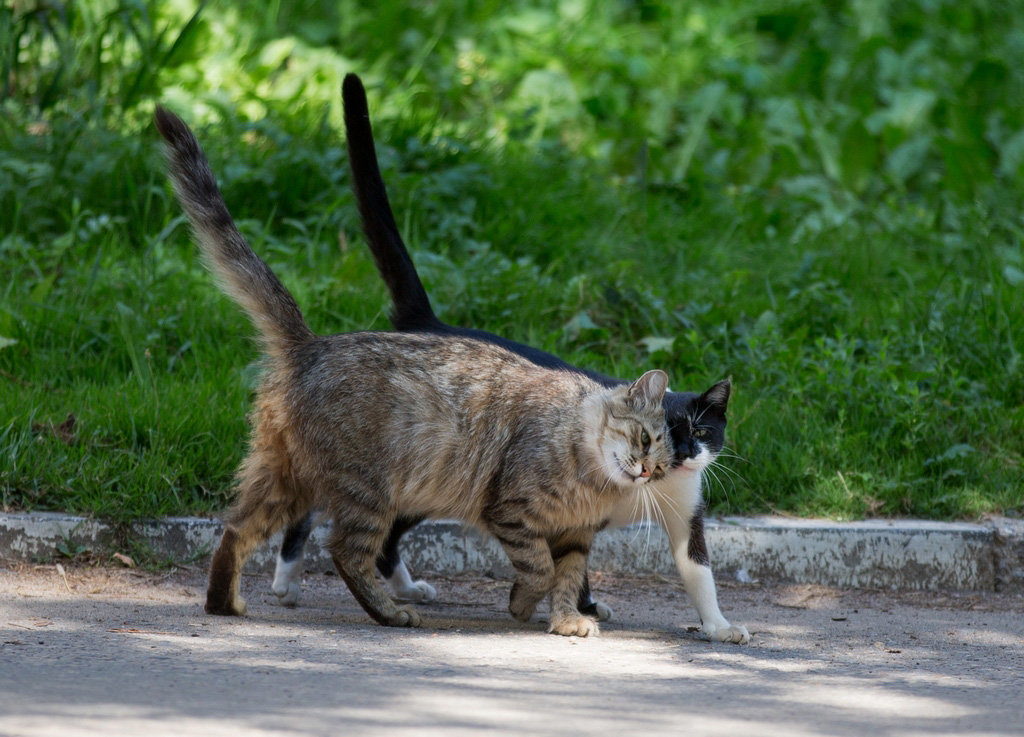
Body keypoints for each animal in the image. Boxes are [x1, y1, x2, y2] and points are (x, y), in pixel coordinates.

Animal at [155, 106, 675, 634]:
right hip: (366, 489)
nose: (646, 471)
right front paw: (524, 604)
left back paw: (225, 602)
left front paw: (567, 619)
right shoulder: (511, 511)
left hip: (286, 475)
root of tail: (311, 343)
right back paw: (389, 611)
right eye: (646, 439)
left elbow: (567, 579)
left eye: (664, 465)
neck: (591, 477)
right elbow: (540, 569)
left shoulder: (574, 535)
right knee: (345, 551)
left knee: (238, 527)